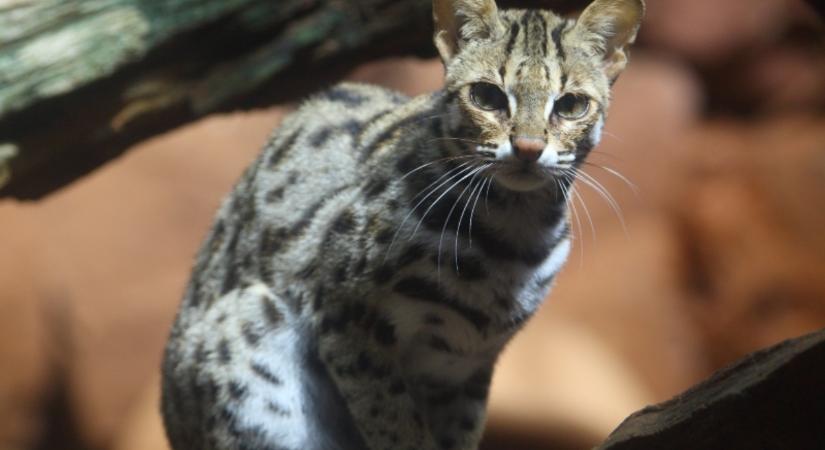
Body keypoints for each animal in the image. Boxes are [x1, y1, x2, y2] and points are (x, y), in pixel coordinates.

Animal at [161, 0, 644, 448]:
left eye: (571, 104)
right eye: (487, 96)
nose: (527, 148)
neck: (514, 229)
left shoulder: (467, 365)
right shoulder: (344, 319)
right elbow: (394, 425)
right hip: (245, 330)